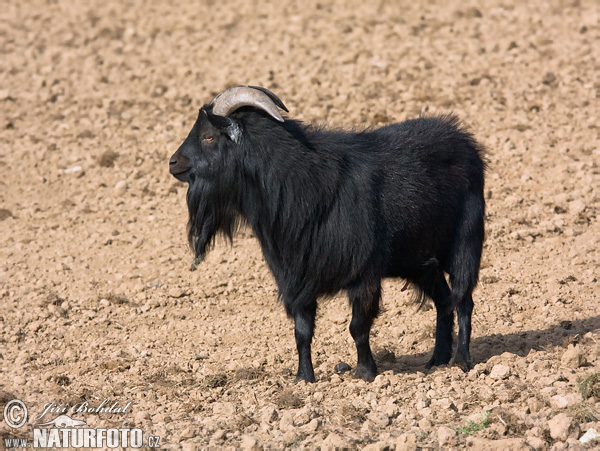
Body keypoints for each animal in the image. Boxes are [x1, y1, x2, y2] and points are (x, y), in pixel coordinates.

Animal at [166, 85, 486, 382]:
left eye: (209, 136)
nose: (173, 163)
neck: (302, 182)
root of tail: (466, 142)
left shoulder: (363, 274)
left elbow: (357, 327)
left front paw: (365, 372)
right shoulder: (296, 278)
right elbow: (302, 331)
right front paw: (304, 377)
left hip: (466, 242)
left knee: (463, 299)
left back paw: (461, 360)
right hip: (422, 263)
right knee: (444, 300)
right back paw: (437, 360)